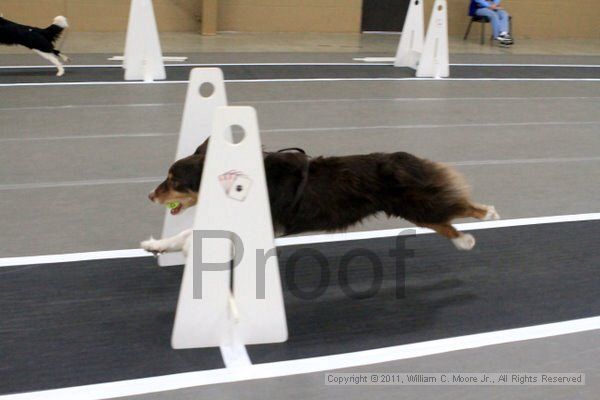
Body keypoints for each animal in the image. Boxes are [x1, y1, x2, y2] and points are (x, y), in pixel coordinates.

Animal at [141, 144, 496, 255]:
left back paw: (487, 216)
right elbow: (184, 234)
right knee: (445, 220)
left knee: (458, 207)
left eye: (173, 181)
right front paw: (155, 245)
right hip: (414, 207)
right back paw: (466, 240)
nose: (150, 195)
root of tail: (404, 157)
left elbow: (193, 235)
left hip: (414, 202)